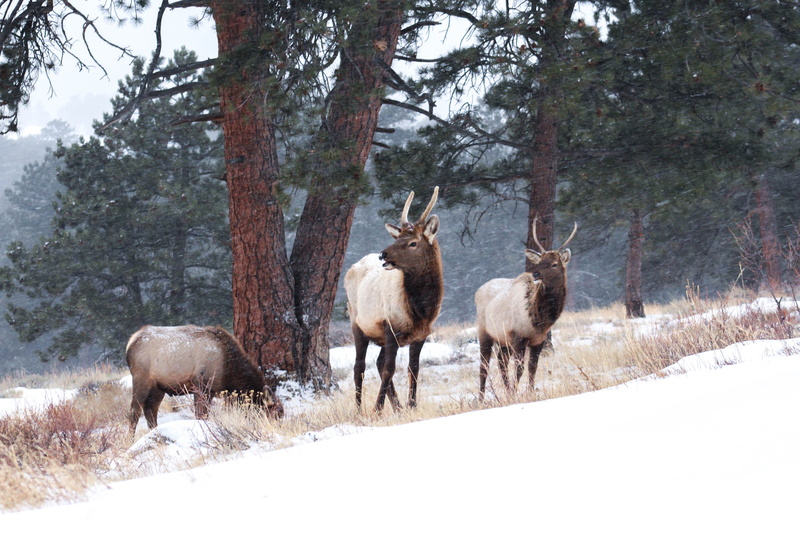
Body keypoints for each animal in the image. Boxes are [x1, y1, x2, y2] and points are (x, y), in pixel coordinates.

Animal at [344, 187, 444, 412]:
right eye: (397, 238)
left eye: (413, 243)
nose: (384, 254)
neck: (421, 311)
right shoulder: (390, 326)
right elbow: (389, 369)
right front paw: (377, 409)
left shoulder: (420, 335)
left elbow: (413, 369)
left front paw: (412, 405)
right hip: (357, 322)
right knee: (359, 366)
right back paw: (359, 409)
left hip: (379, 335)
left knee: (378, 363)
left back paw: (397, 407)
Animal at [475, 218, 577, 401]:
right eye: (539, 261)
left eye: (554, 264)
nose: (535, 274)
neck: (539, 321)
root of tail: (478, 290)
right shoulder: (518, 337)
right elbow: (520, 369)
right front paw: (517, 394)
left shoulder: (538, 340)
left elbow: (532, 368)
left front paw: (528, 392)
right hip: (484, 332)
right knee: (484, 366)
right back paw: (480, 399)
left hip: (503, 340)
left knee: (501, 362)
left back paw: (506, 392)